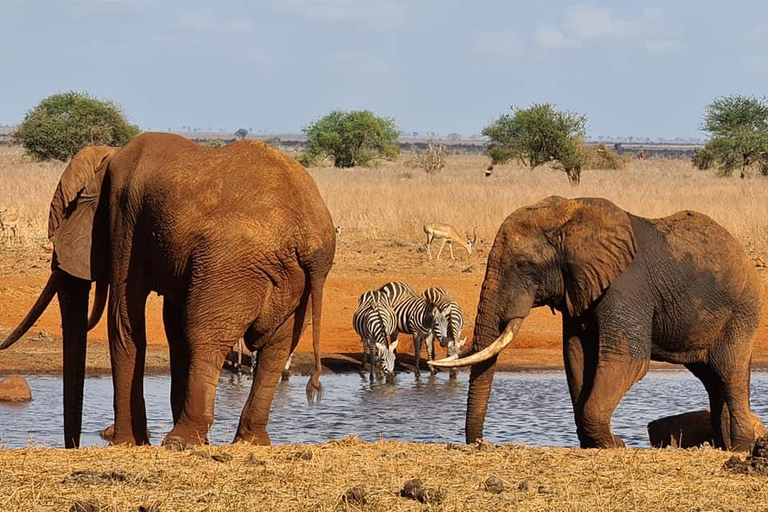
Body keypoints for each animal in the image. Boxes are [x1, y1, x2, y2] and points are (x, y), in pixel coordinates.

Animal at [0, 133, 336, 448]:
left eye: (63, 218)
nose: (73, 445)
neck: (110, 155)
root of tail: (311, 240)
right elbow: (172, 327)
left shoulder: (124, 220)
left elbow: (124, 321)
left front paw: (127, 443)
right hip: (290, 280)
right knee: (275, 348)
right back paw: (248, 441)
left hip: (234, 263)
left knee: (206, 337)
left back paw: (180, 441)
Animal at [432, 194, 760, 450]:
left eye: (525, 265)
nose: (480, 443)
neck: (569, 216)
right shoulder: (578, 289)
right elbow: (577, 356)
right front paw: (599, 444)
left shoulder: (627, 286)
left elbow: (625, 360)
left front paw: (616, 445)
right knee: (714, 380)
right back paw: (724, 445)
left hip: (741, 312)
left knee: (729, 372)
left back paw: (739, 448)